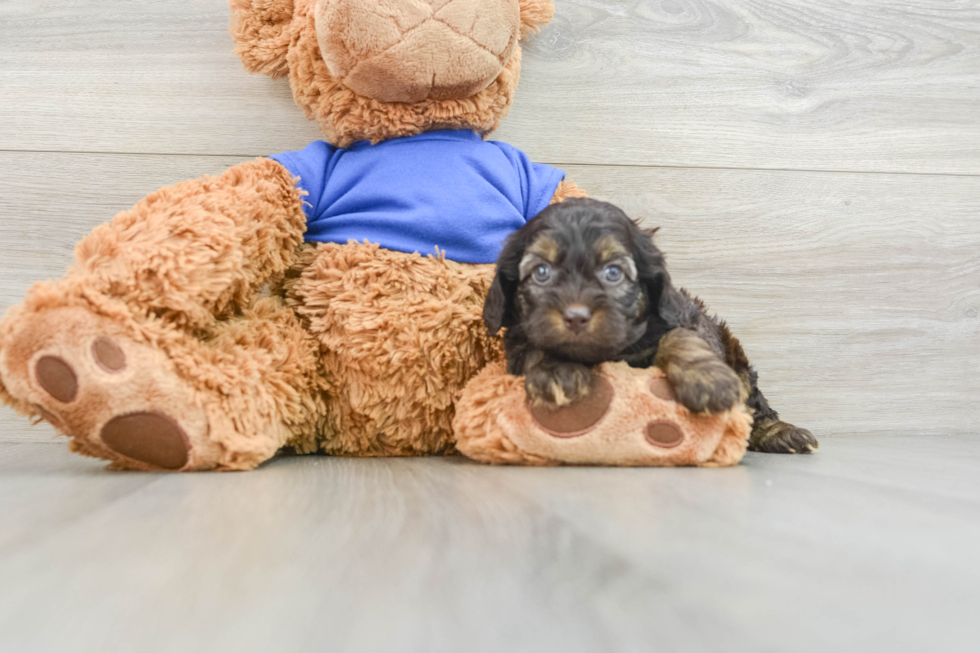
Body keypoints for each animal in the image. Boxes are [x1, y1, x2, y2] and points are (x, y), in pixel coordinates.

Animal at [484, 199, 820, 454]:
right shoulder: (520, 338)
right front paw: (555, 370)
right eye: (541, 272)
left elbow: (680, 338)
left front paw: (708, 380)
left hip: (738, 360)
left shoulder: (685, 319)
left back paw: (782, 433)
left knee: (756, 405)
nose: (576, 316)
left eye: (613, 272)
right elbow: (536, 347)